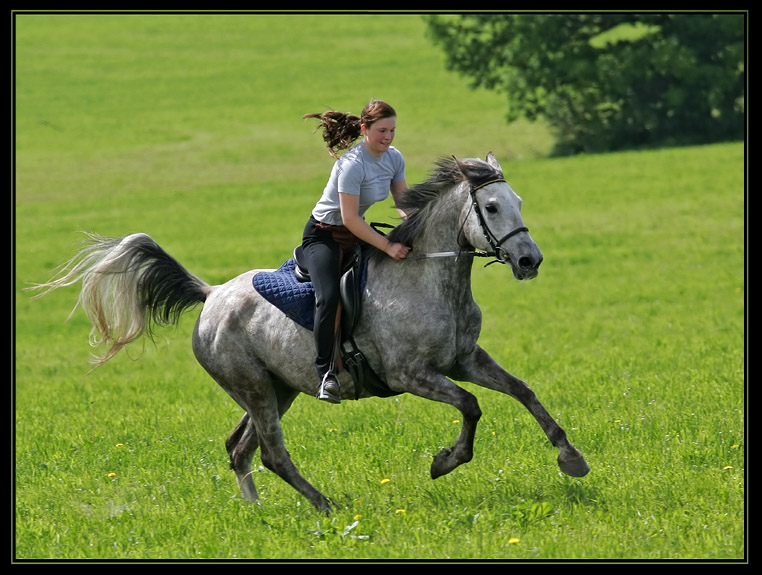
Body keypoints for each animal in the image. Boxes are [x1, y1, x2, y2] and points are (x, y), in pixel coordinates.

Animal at [32, 152, 592, 512]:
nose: (530, 260)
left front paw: (571, 457)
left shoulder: (465, 360)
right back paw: (325, 505)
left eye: (518, 200)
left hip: (277, 389)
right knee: (271, 453)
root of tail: (210, 296)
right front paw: (445, 462)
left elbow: (523, 391)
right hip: (257, 389)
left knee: (239, 448)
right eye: (492, 207)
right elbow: (472, 407)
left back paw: (257, 513)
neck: (430, 278)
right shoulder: (411, 375)